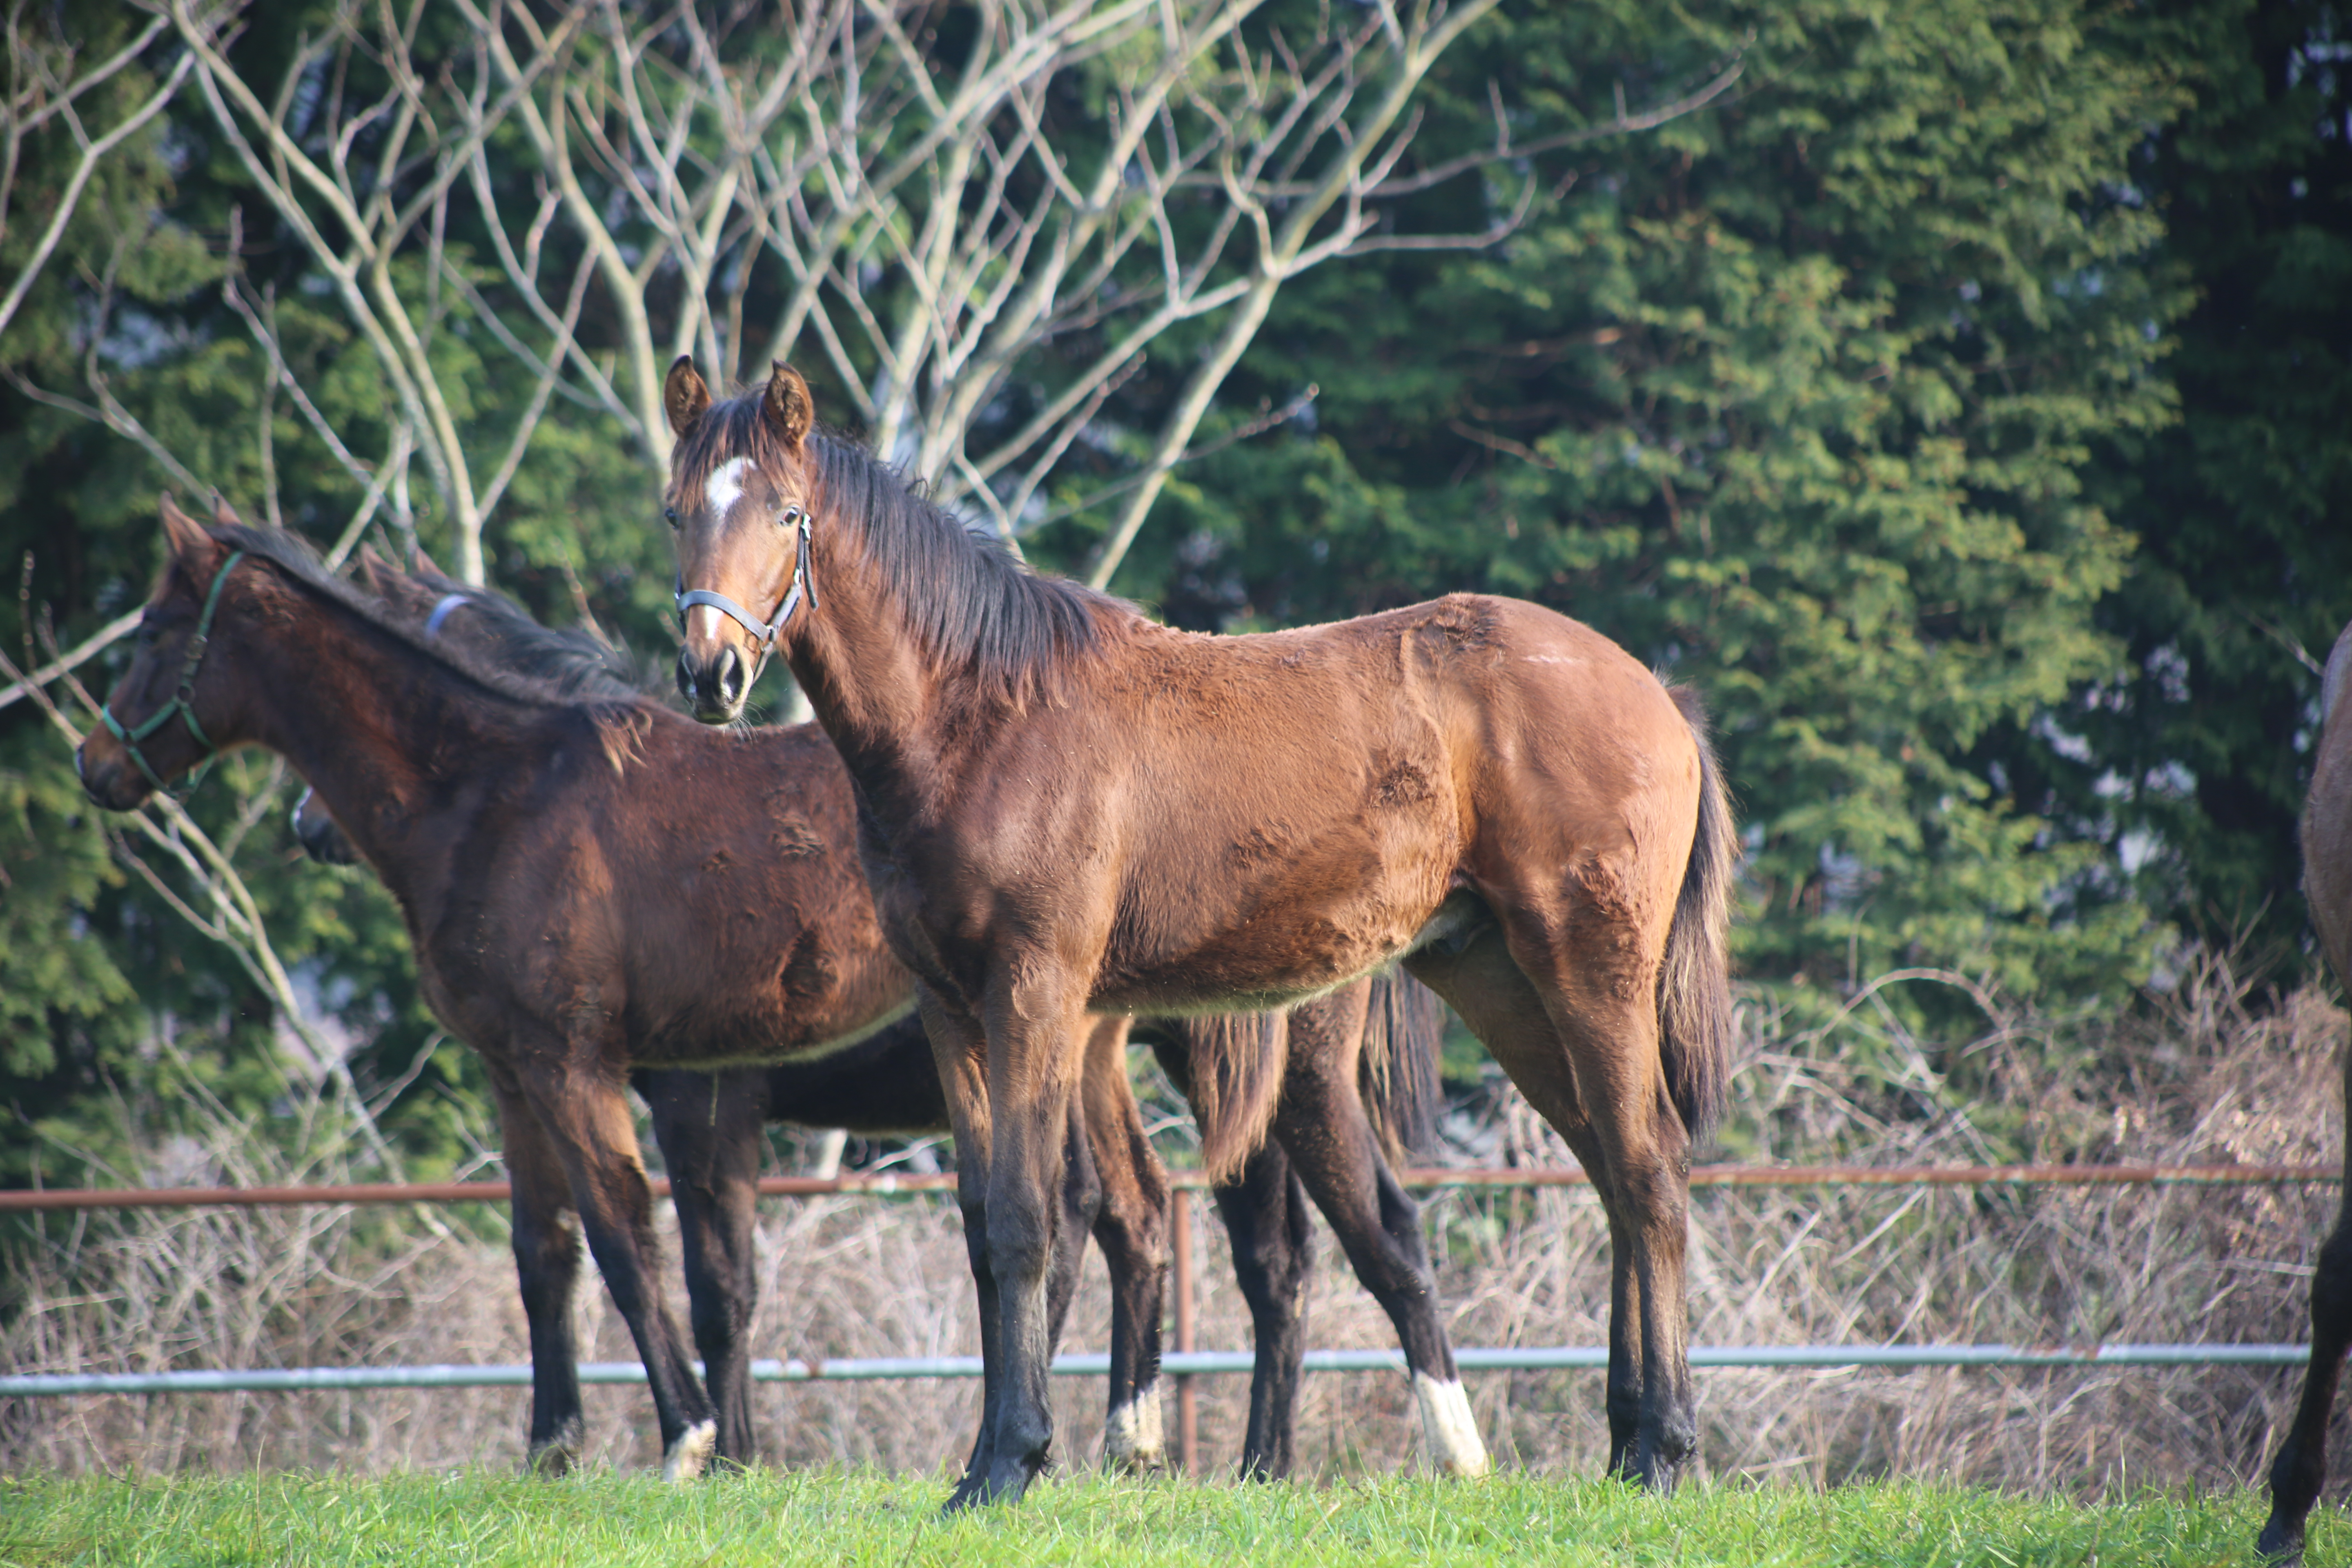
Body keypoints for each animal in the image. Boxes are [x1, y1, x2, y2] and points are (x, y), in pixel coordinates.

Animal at [654, 359, 1740, 1504]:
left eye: (787, 513)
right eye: (676, 512)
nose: (712, 675)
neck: (983, 720)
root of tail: (1657, 693)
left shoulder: (1034, 992)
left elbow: (1028, 1216)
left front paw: (1013, 1460)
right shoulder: (953, 1009)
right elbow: (982, 1228)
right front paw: (984, 1466)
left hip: (1588, 970)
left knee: (1648, 1170)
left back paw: (1664, 1447)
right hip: (1500, 980)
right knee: (1608, 1172)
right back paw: (1622, 1442)